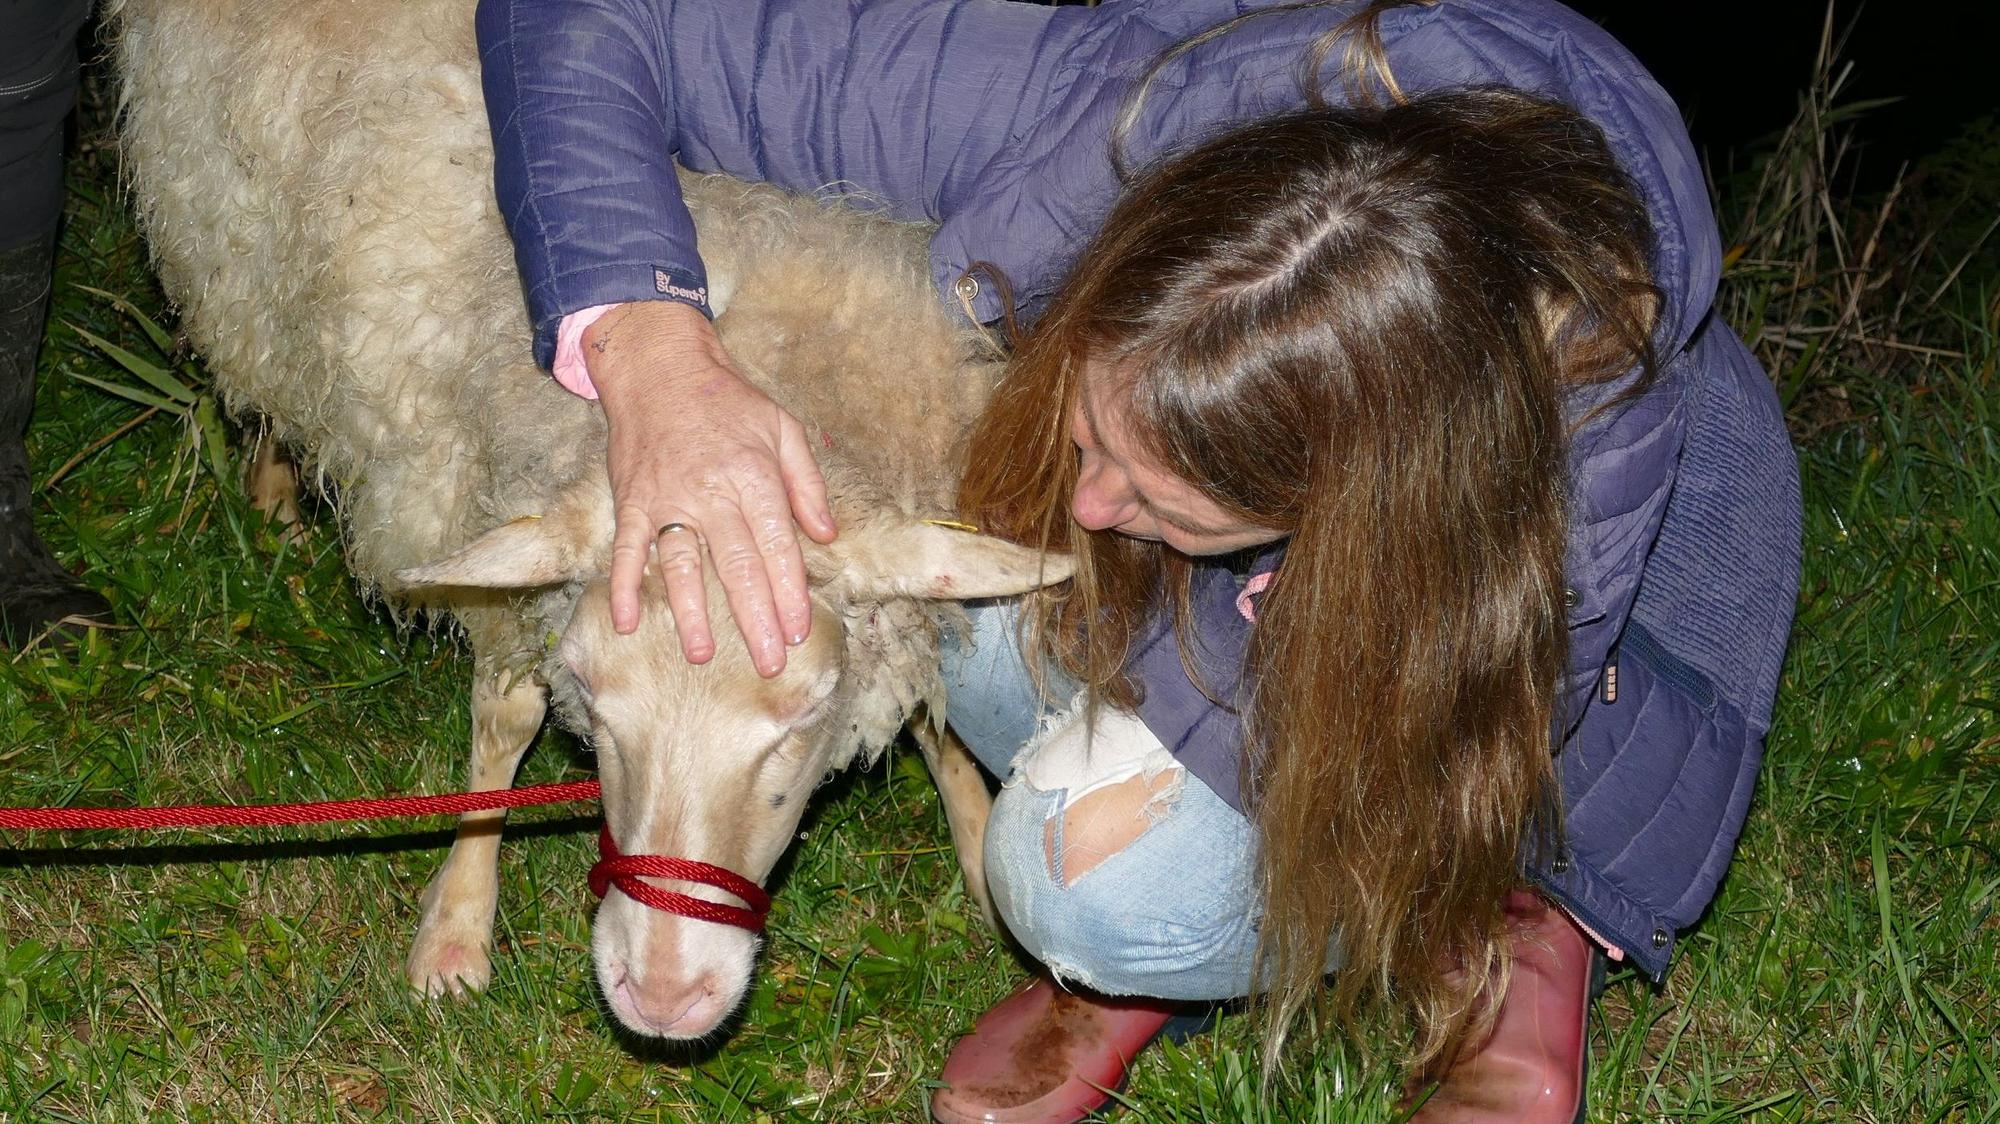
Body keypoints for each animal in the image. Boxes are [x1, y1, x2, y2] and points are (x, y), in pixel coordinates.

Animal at [111, 0, 1066, 1039]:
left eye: (808, 710)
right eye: (594, 696)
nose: (663, 997)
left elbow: (931, 705)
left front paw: (979, 852)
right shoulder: (472, 494)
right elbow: (506, 716)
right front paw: (456, 926)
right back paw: (275, 488)